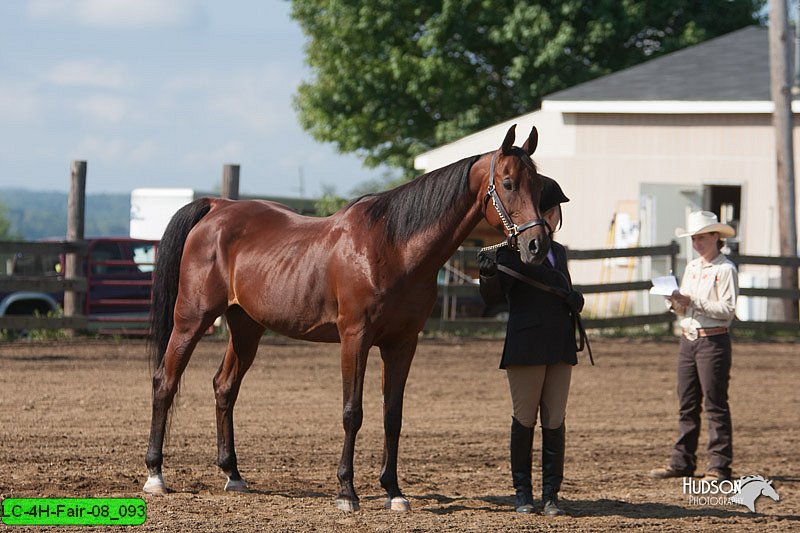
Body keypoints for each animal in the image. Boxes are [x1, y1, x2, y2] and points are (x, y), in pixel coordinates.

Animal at [142, 124, 552, 512]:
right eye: (509, 183)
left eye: (539, 185)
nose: (537, 246)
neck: (392, 247)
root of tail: (217, 206)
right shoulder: (355, 338)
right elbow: (352, 412)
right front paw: (346, 492)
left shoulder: (402, 344)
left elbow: (393, 414)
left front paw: (394, 492)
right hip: (192, 319)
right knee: (165, 381)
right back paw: (155, 474)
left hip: (246, 326)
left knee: (224, 386)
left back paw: (233, 474)